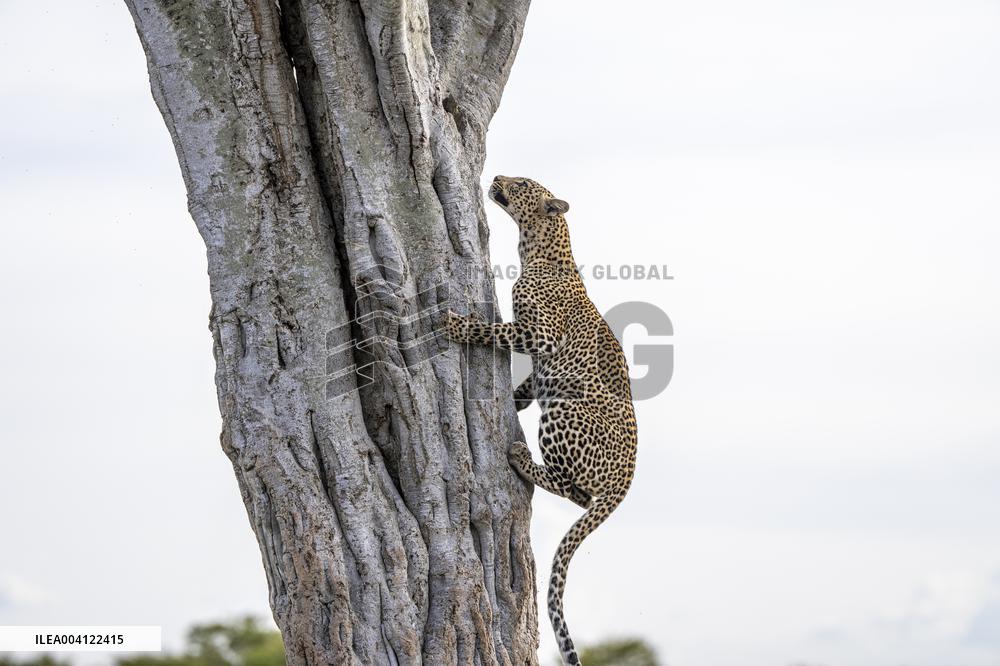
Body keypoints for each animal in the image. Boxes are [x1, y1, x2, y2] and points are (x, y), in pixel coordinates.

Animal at [445, 175, 638, 666]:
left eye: (522, 184)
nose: (497, 178)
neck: (538, 249)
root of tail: (627, 480)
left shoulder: (540, 335)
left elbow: (491, 330)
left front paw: (453, 323)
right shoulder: (539, 360)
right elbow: (528, 383)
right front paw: (513, 402)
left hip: (567, 409)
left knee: (572, 489)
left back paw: (518, 456)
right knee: (576, 495)